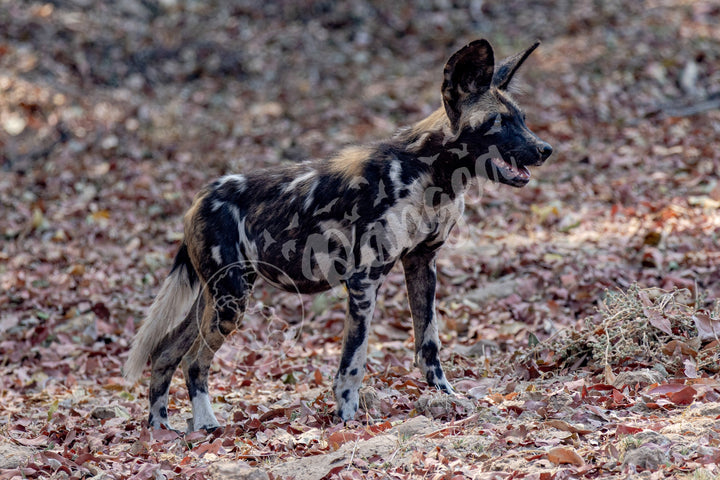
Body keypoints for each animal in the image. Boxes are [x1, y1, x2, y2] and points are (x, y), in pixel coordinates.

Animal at [124, 36, 556, 428]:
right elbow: (354, 361)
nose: (546, 149)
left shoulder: (422, 264)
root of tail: (198, 199)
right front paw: (347, 419)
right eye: (499, 122)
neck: (431, 175)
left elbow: (428, 345)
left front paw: (447, 398)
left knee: (164, 354)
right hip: (231, 301)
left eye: (522, 119)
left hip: (216, 298)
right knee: (194, 362)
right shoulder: (364, 281)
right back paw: (207, 426)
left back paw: (161, 431)